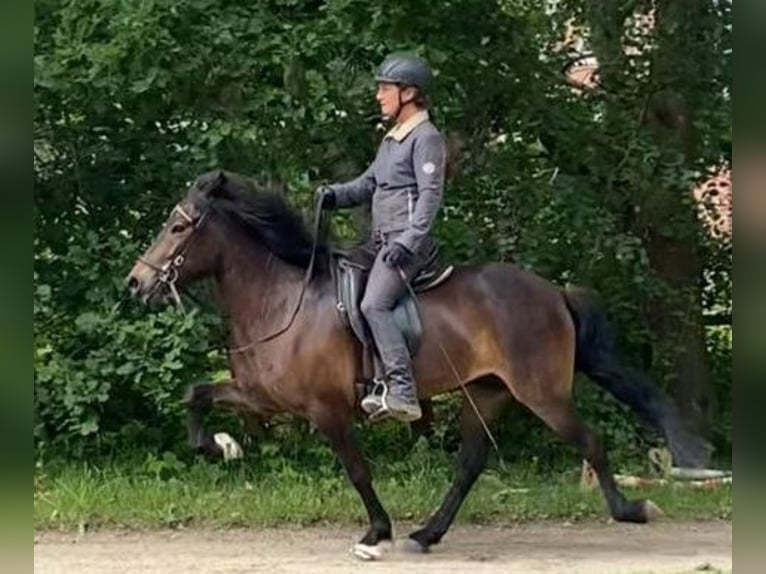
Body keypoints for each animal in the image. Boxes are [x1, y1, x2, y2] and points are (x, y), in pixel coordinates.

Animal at [126, 169, 709, 559]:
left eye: (178, 228)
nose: (136, 282)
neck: (281, 299)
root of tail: (553, 292)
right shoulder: (262, 395)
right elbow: (196, 394)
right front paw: (219, 446)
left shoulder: (325, 410)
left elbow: (357, 470)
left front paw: (376, 531)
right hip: (486, 392)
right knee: (472, 462)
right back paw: (427, 534)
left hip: (541, 394)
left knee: (588, 441)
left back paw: (631, 510)